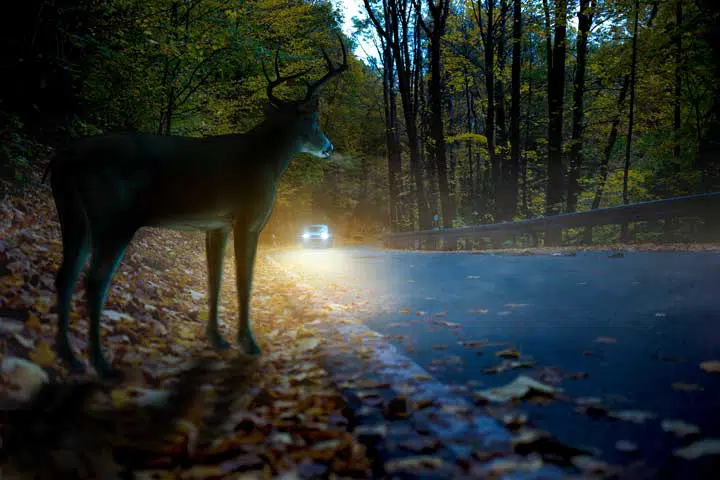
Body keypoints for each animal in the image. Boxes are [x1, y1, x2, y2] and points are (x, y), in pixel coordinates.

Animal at [44, 35, 348, 380]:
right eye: (314, 121)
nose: (329, 147)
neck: (268, 160)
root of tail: (62, 158)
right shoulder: (248, 218)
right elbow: (243, 280)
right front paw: (248, 343)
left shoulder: (215, 224)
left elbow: (214, 278)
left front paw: (217, 339)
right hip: (114, 216)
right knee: (95, 281)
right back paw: (102, 365)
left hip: (72, 213)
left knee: (65, 276)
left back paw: (70, 358)